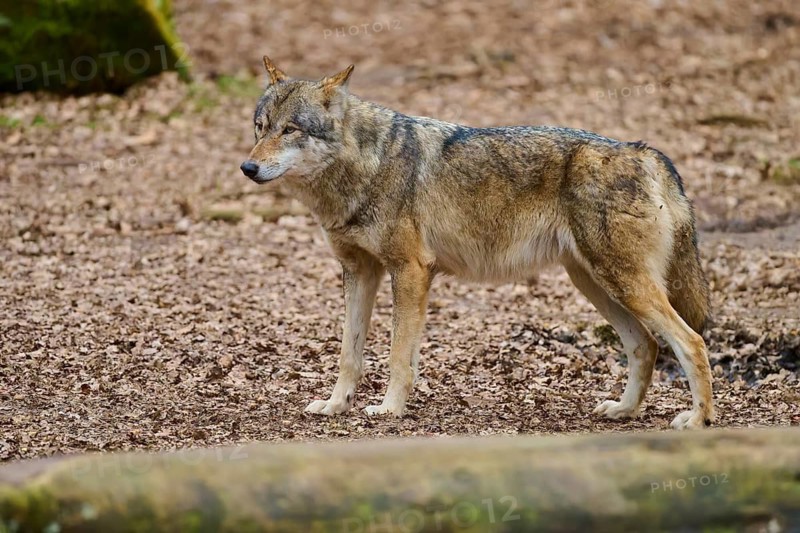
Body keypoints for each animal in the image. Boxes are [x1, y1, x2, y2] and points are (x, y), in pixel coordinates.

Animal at [240, 56, 713, 430]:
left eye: (291, 130)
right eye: (260, 128)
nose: (247, 167)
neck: (365, 166)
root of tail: (645, 152)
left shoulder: (410, 272)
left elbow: (397, 355)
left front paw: (389, 409)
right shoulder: (359, 272)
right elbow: (348, 353)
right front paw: (337, 405)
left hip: (622, 284)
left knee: (691, 342)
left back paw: (698, 420)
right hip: (595, 284)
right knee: (645, 345)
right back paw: (624, 411)